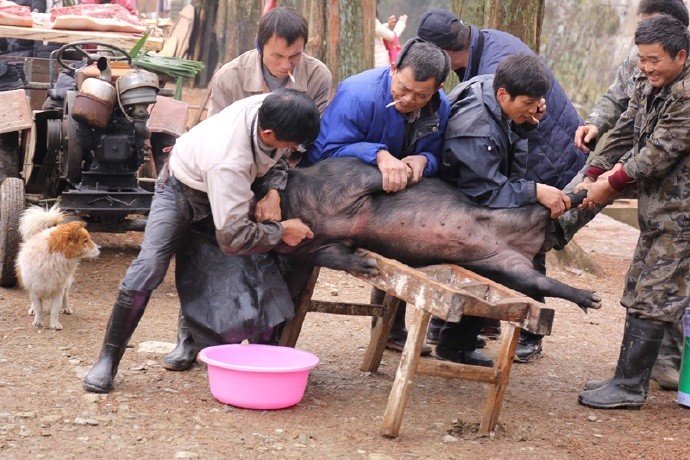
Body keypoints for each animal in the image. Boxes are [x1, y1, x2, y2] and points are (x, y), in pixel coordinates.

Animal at [276, 158, 600, 312]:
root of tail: (533, 243)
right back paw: (592, 301)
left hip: (522, 217)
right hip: (508, 265)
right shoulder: (316, 248)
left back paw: (583, 193)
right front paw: (368, 265)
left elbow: (385, 178)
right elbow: (334, 256)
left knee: (551, 206)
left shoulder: (350, 175)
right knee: (541, 282)